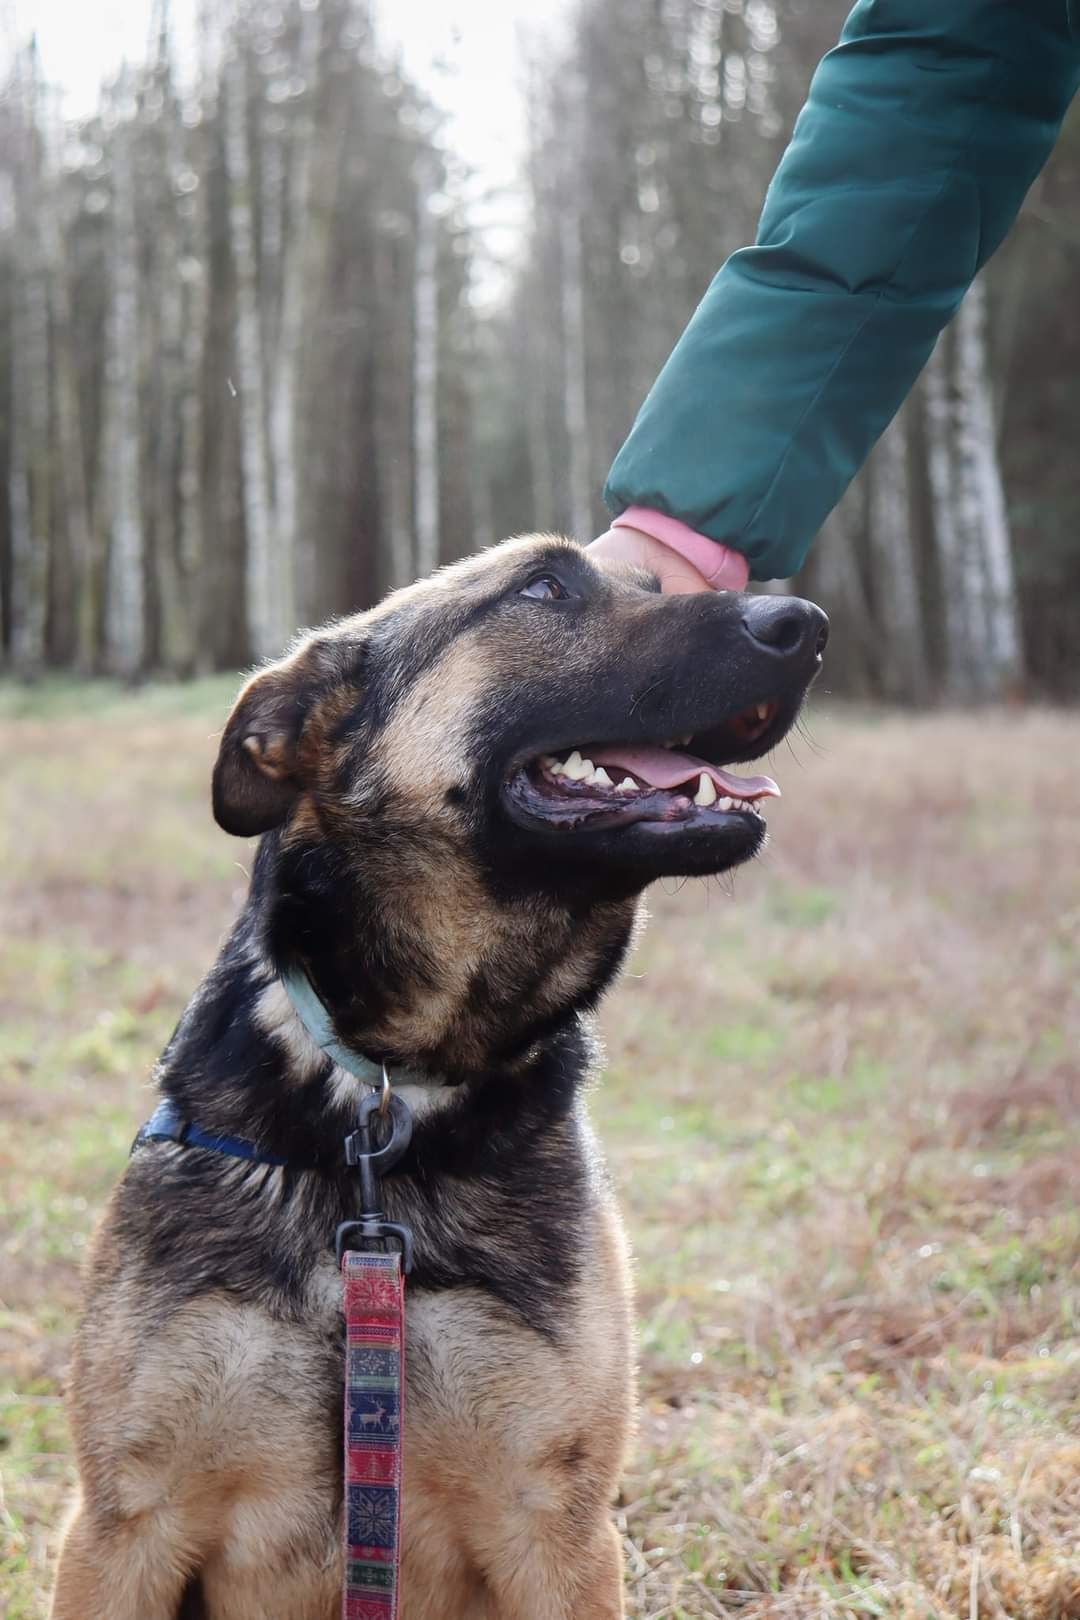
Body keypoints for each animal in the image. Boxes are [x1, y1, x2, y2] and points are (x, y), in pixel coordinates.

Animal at [50, 537, 829, 1613]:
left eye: (654, 586)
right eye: (544, 586)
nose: (806, 625)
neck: (390, 1089)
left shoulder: (555, 1529)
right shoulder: (121, 1525)